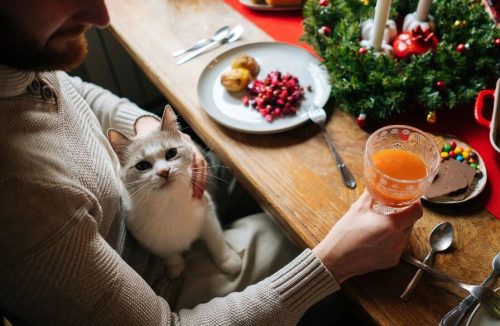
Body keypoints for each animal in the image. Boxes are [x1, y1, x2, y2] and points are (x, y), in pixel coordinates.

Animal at [107, 105, 242, 278]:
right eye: (142, 166)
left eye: (171, 153)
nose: (164, 172)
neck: (168, 203)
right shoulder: (150, 239)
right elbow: (167, 252)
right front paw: (175, 267)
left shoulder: (208, 213)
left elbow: (216, 239)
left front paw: (227, 260)